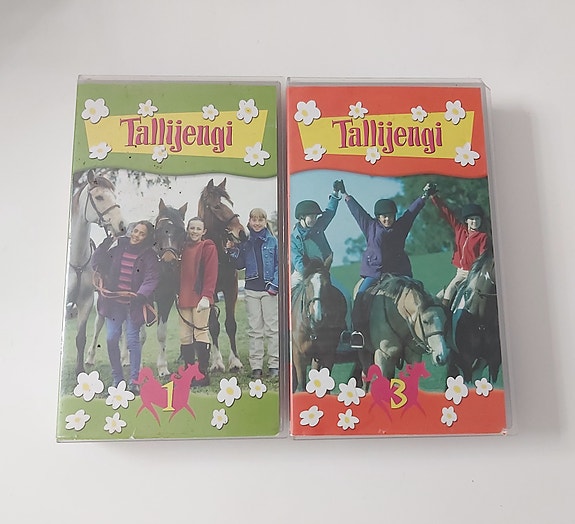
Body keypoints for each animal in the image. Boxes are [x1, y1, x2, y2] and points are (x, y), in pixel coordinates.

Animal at [67, 169, 125, 376]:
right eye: (99, 197)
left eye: (115, 197)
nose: (121, 226)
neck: (76, 261)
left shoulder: (85, 301)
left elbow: (80, 338)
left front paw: (79, 371)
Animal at [291, 256, 348, 392]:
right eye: (306, 285)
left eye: (328, 285)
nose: (317, 317)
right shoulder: (298, 355)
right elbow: (301, 387)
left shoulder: (328, 355)